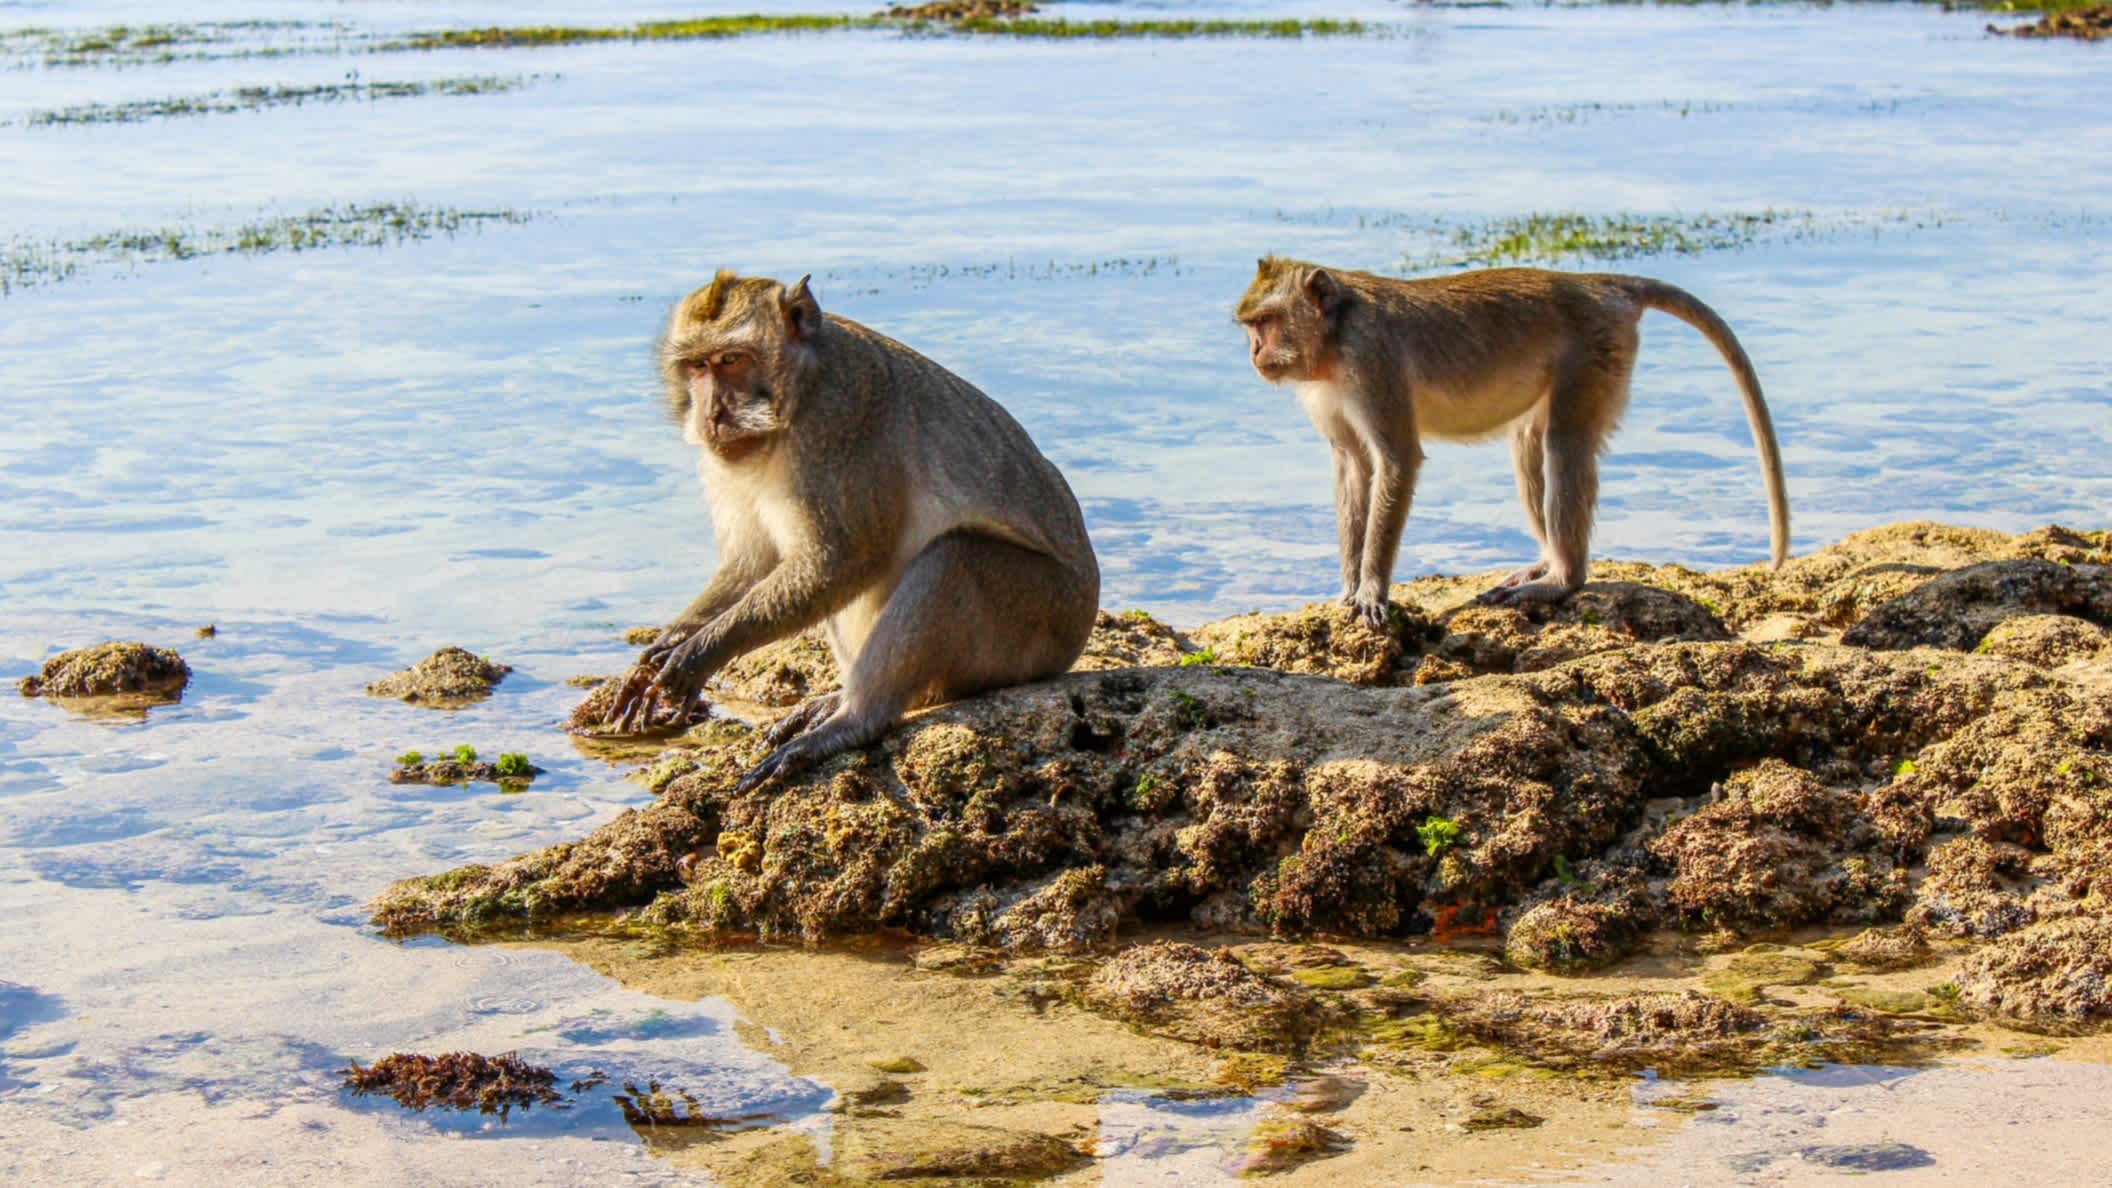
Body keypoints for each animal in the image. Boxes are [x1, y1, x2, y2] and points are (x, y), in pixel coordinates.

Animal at [608, 268, 1106, 786]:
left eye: (731, 360)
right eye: (697, 367)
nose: (712, 415)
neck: (797, 399)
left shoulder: (840, 422)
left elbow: (844, 561)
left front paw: (700, 653)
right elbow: (754, 561)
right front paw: (669, 642)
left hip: (1040, 619)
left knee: (955, 558)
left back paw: (856, 718)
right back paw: (838, 701)